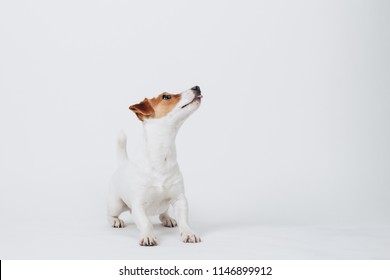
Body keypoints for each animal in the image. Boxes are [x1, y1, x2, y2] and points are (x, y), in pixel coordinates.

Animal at [107, 86, 203, 246]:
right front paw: (148, 236)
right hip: (116, 203)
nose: (197, 87)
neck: (162, 155)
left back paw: (168, 218)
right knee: (110, 214)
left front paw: (188, 233)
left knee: (163, 212)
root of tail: (123, 162)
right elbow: (146, 223)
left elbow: (184, 220)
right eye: (166, 97)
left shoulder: (180, 199)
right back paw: (115, 221)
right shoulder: (138, 205)